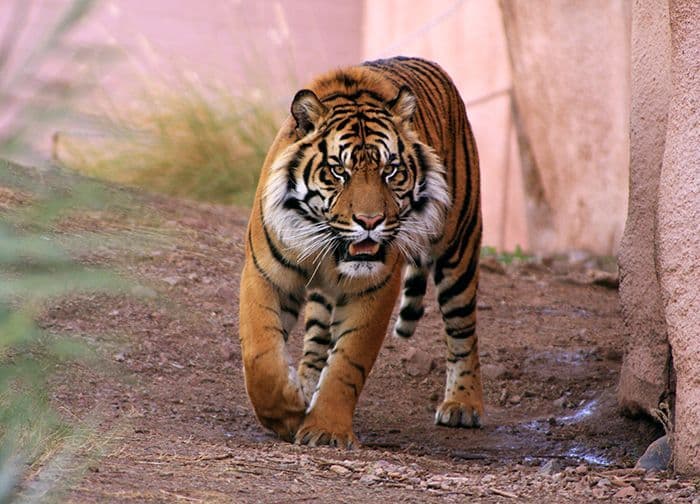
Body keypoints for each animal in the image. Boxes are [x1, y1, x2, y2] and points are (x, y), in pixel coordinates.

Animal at [238, 56, 483, 448]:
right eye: (339, 171)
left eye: (391, 171)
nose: (370, 221)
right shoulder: (264, 274)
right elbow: (260, 355)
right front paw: (288, 411)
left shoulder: (374, 289)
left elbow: (347, 365)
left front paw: (325, 430)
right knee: (316, 339)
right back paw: (305, 385)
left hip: (458, 249)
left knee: (463, 332)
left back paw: (463, 404)